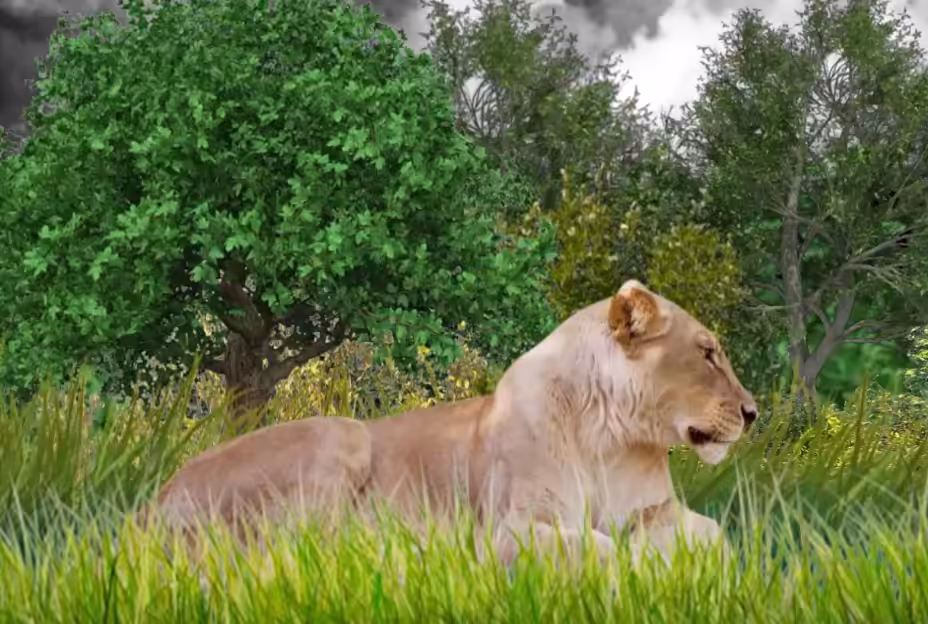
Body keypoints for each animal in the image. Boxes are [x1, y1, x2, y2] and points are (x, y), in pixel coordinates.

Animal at [146, 279, 757, 568]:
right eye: (708, 354)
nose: (752, 413)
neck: (613, 439)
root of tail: (155, 502)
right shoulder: (509, 526)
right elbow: (601, 550)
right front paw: (639, 570)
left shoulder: (654, 509)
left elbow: (715, 536)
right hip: (340, 435)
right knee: (301, 552)